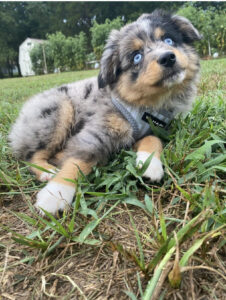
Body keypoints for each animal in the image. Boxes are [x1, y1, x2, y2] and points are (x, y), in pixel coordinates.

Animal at [8, 9, 200, 216]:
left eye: (169, 40)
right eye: (137, 57)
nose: (167, 57)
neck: (145, 104)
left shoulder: (152, 130)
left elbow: (153, 139)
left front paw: (149, 165)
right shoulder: (97, 132)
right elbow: (76, 161)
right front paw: (56, 194)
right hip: (59, 111)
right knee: (31, 156)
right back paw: (47, 172)